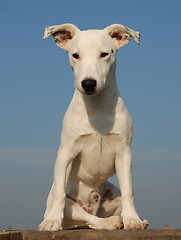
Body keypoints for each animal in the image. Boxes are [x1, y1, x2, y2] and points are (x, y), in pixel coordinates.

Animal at [38, 23, 148, 231]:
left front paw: (133, 219)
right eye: (75, 55)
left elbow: (129, 191)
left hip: (114, 195)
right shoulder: (65, 152)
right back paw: (109, 222)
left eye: (104, 54)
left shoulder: (124, 153)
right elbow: (58, 193)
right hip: (70, 206)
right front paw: (51, 221)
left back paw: (123, 220)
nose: (88, 83)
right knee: (88, 218)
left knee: (96, 219)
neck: (97, 108)